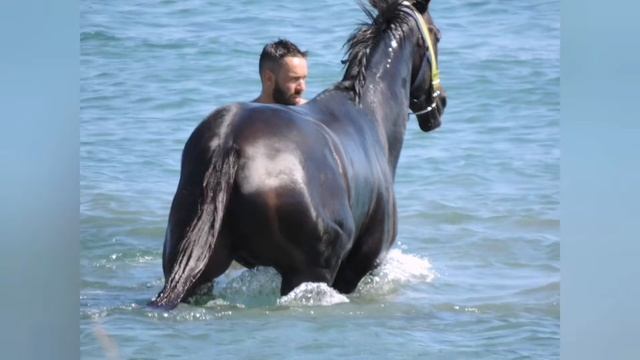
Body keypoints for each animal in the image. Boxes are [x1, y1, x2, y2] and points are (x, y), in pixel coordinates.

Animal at [152, 0, 448, 310]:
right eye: (437, 35)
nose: (440, 103)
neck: (370, 115)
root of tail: (229, 143)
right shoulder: (360, 265)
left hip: (196, 265)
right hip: (308, 271)